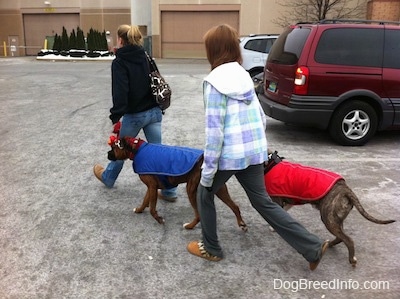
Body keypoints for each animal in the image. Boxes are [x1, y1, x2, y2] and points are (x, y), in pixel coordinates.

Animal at [108, 136, 248, 232]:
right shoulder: (151, 187)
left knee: (199, 215)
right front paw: (139, 210)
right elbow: (145, 201)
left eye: (113, 148)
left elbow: (152, 209)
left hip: (191, 190)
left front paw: (159, 219)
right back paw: (241, 223)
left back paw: (190, 226)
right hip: (220, 189)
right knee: (235, 206)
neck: (137, 149)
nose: (107, 154)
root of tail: (205, 158)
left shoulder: (152, 187)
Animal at [264, 152, 396, 268]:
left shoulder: (276, 200)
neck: (270, 163)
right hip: (336, 218)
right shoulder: (287, 202)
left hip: (328, 218)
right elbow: (283, 213)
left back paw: (352, 259)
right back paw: (330, 244)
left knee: (348, 240)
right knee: (340, 237)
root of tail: (345, 189)